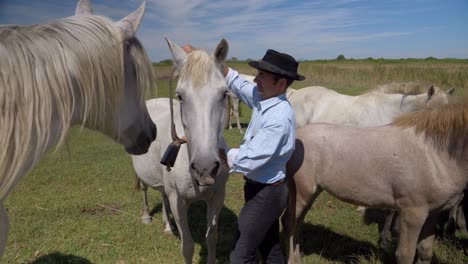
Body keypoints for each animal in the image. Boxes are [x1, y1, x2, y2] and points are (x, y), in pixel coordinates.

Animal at [131, 37, 229, 264]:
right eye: (180, 95)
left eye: (224, 93)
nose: (205, 168)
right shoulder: (178, 200)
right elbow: (188, 246)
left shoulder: (217, 197)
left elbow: (212, 237)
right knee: (146, 190)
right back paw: (146, 216)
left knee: (162, 194)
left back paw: (168, 226)